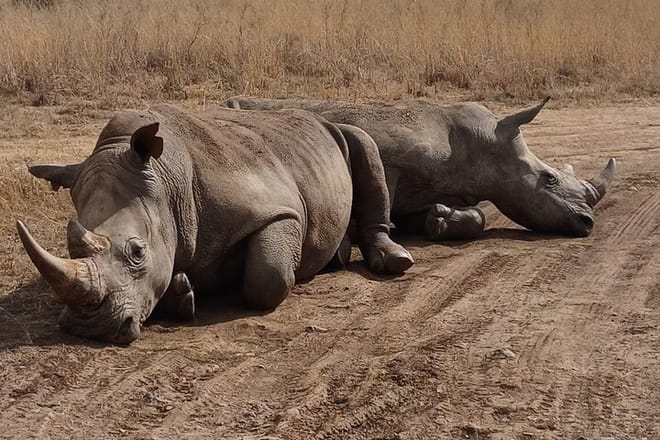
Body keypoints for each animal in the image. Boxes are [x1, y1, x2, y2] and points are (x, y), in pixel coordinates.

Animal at [17, 105, 414, 344]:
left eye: (137, 252)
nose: (91, 328)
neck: (167, 182)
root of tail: (317, 117)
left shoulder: (281, 209)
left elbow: (268, 277)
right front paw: (181, 292)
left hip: (339, 132)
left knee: (363, 141)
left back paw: (394, 261)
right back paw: (339, 256)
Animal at [226, 96, 616, 239]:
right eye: (549, 179)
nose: (587, 223)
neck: (484, 146)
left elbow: (474, 215)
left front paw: (440, 221)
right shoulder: (392, 156)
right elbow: (382, 195)